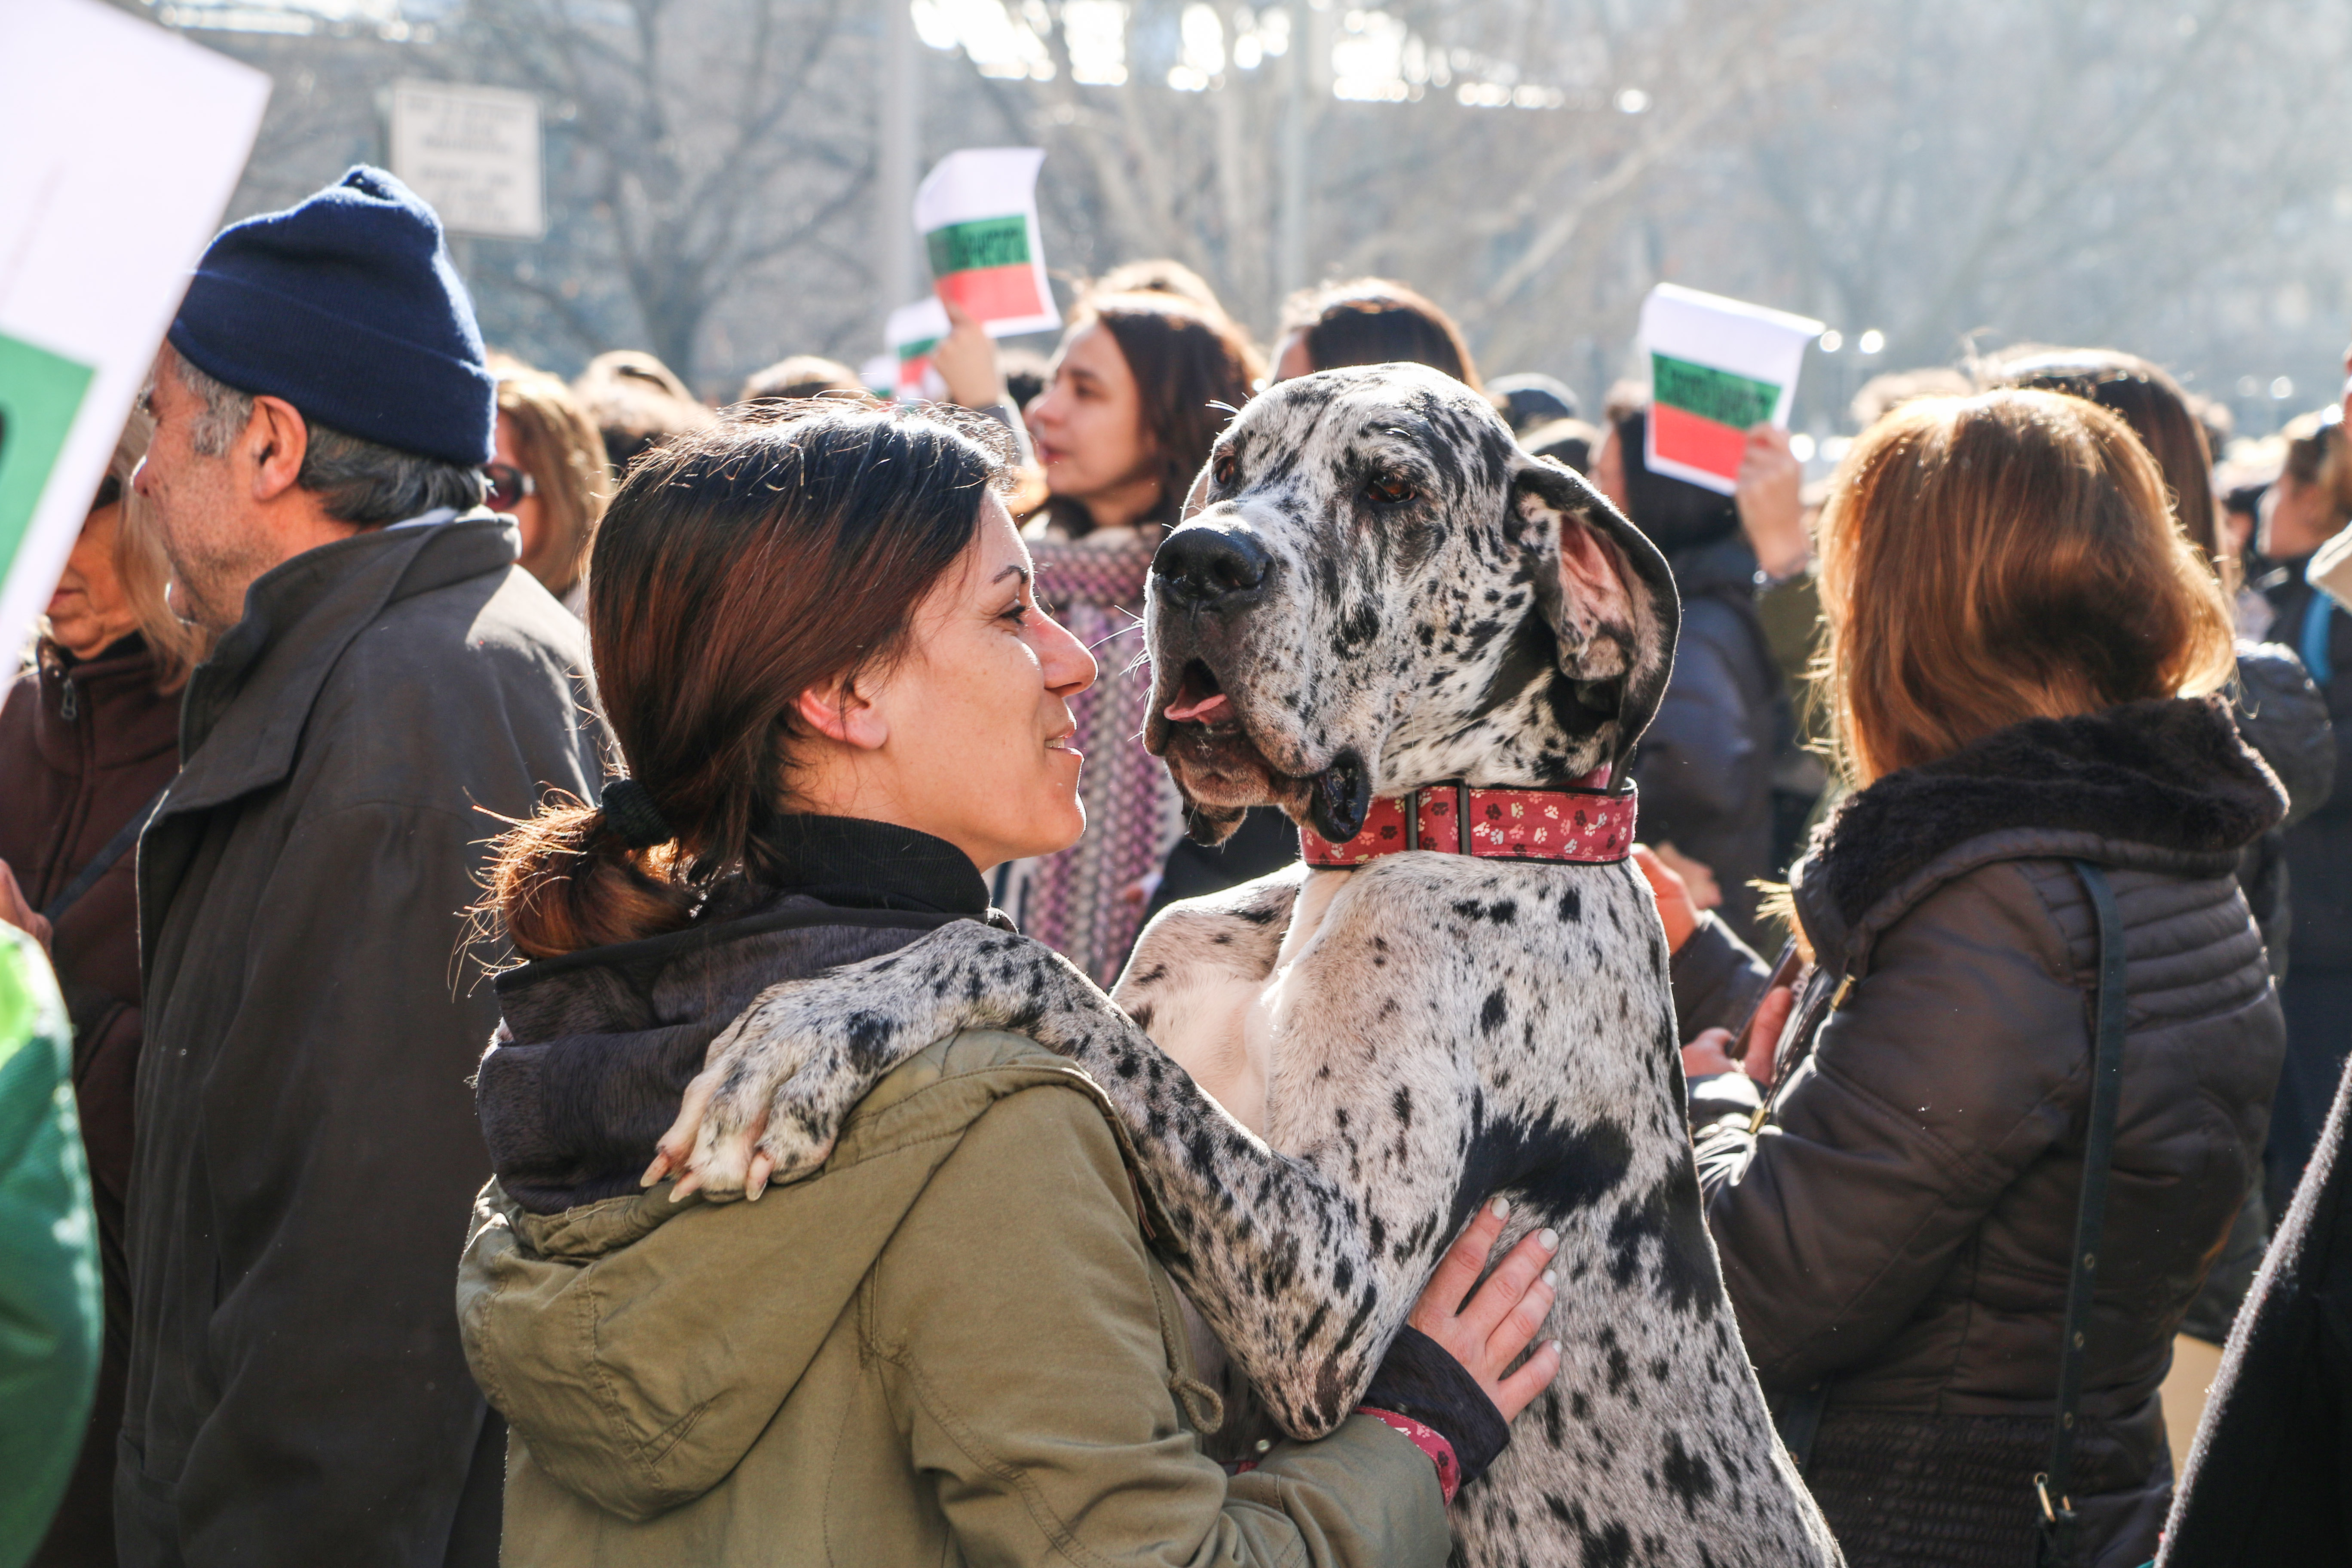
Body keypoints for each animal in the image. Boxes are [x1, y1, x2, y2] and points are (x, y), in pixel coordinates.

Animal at [663, 371, 1834, 1568]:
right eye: (1228, 465)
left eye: (1392, 488)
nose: (1198, 563)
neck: (1406, 845)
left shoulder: (1334, 1303)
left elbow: (1014, 953)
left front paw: (809, 1034)